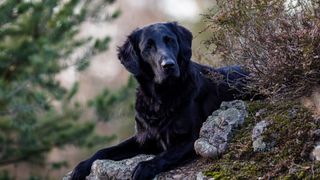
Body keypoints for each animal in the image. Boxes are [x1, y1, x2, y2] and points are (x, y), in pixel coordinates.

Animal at [72, 22, 248, 180]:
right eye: (148, 47)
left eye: (171, 40)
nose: (168, 65)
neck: (159, 98)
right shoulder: (143, 138)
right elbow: (105, 150)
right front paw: (81, 167)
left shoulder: (191, 138)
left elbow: (165, 155)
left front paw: (144, 167)